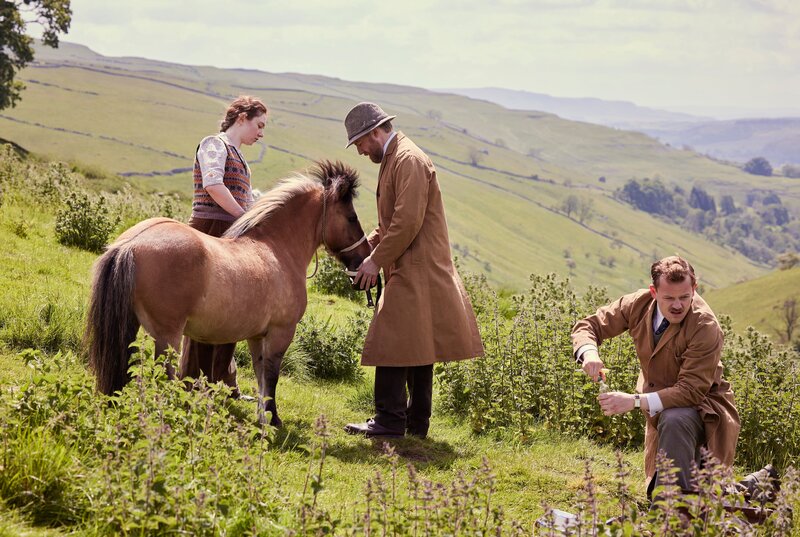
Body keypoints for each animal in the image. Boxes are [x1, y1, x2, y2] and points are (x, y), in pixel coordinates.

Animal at [85, 160, 371, 425]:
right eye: (351, 217)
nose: (364, 257)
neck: (276, 249)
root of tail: (130, 245)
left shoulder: (257, 336)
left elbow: (260, 373)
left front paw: (262, 416)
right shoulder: (281, 332)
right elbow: (272, 375)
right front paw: (272, 419)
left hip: (132, 326)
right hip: (168, 336)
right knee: (164, 375)